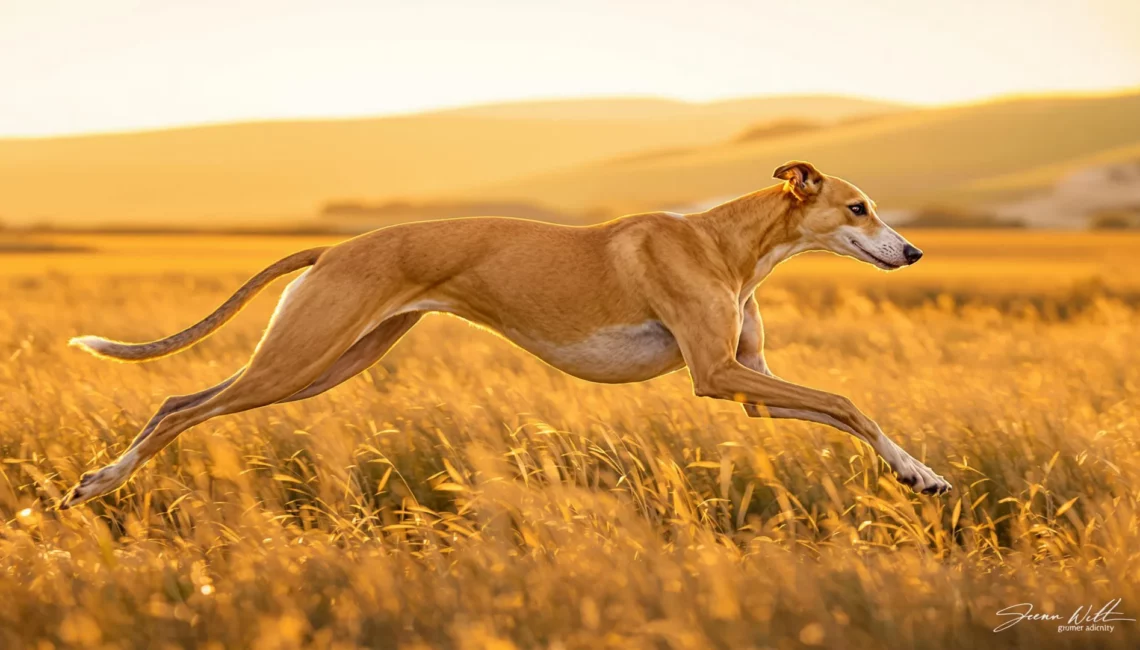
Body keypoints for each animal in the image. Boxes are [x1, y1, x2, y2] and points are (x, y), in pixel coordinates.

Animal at [62, 160, 953, 506]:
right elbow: (845, 399)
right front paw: (921, 472)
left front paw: (921, 474)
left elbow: (846, 410)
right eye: (857, 207)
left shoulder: (750, 390)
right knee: (181, 406)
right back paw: (99, 482)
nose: (912, 252)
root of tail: (336, 246)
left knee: (181, 398)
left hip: (326, 362)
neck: (725, 240)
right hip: (301, 357)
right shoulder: (717, 375)